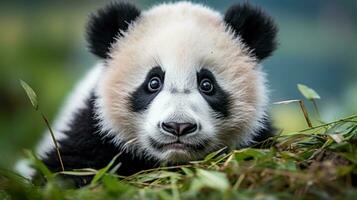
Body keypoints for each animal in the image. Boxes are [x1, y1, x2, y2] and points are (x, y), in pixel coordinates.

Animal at [16, 0, 276, 187]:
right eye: (153, 83)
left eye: (207, 85)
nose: (178, 126)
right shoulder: (94, 132)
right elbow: (66, 170)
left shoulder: (258, 136)